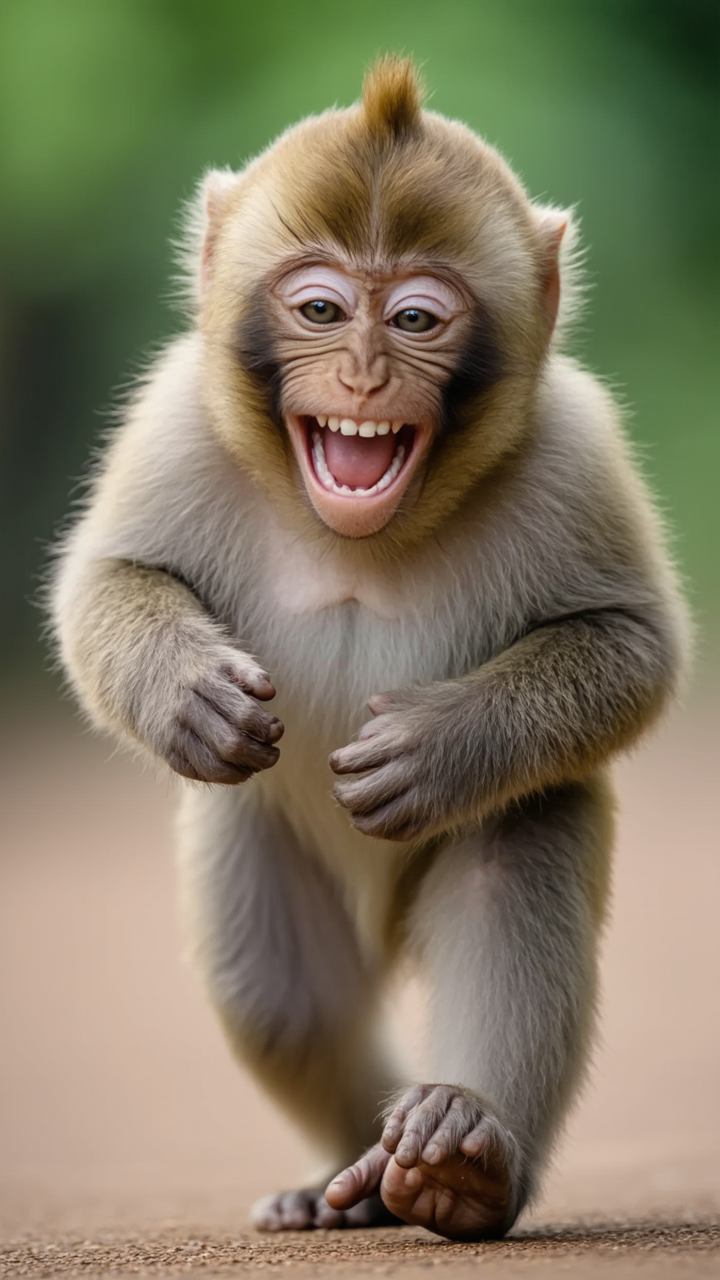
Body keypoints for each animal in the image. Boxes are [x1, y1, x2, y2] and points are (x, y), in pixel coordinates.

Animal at [50, 56, 689, 1241]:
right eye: (320, 308)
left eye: (416, 317)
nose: (359, 374)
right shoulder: (174, 422)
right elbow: (99, 586)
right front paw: (188, 696)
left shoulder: (573, 450)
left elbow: (633, 648)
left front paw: (441, 746)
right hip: (259, 842)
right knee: (282, 996)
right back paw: (352, 1181)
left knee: (511, 874)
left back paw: (462, 1154)